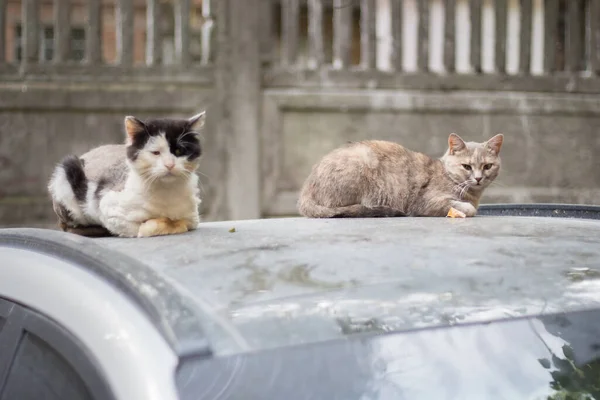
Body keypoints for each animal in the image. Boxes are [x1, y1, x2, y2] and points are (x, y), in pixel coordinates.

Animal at [48, 111, 206, 238]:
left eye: (179, 151)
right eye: (155, 152)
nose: (169, 165)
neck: (166, 193)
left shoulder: (193, 218)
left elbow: (180, 222)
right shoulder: (110, 212)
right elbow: (143, 228)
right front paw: (149, 226)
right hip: (67, 170)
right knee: (68, 227)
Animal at [298, 133, 504, 217]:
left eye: (487, 166)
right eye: (467, 166)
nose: (478, 178)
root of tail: (306, 190)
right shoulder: (427, 202)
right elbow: (467, 208)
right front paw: (467, 207)